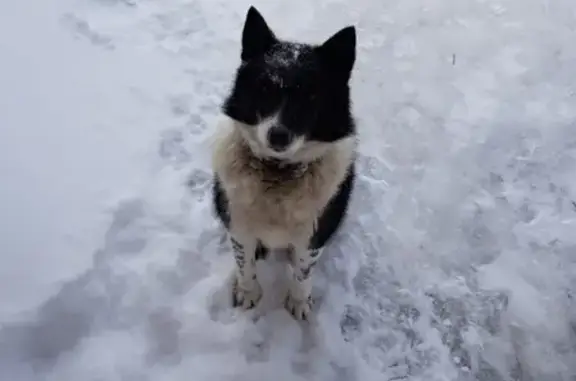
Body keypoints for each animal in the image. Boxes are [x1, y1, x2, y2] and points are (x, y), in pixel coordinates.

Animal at [209, 6, 358, 320]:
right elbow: (244, 264)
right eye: (265, 88)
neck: (277, 174)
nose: (278, 136)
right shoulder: (238, 223)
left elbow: (303, 272)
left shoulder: (313, 233)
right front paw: (248, 293)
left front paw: (299, 302)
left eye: (312, 95)